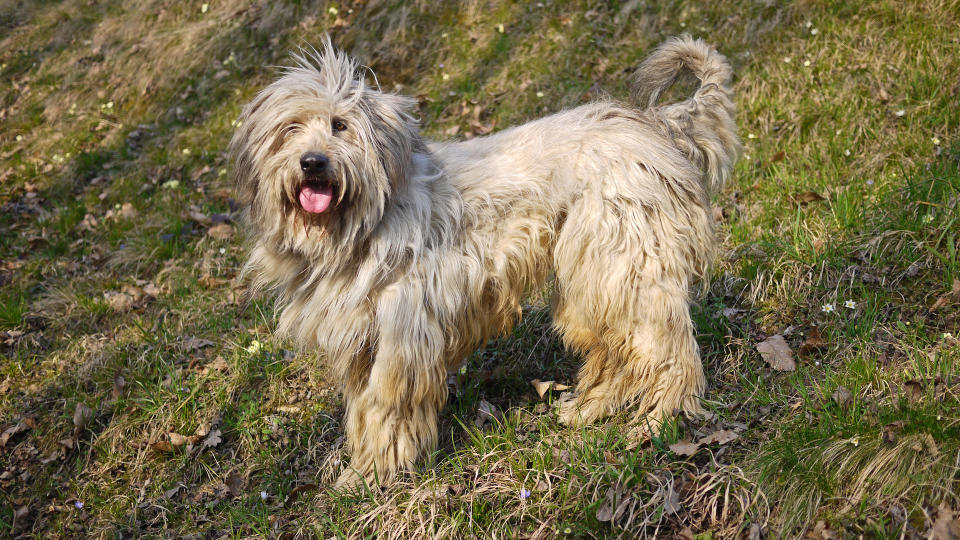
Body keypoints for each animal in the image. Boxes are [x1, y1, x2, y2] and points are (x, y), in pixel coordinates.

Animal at [231, 35, 744, 488]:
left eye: (340, 125)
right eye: (291, 129)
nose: (312, 162)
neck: (359, 224)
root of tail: (653, 123)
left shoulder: (401, 333)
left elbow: (386, 407)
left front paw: (372, 475)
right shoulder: (363, 340)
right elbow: (363, 410)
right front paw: (364, 468)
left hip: (620, 263)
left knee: (664, 348)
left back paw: (660, 418)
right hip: (593, 280)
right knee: (619, 348)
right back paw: (590, 408)